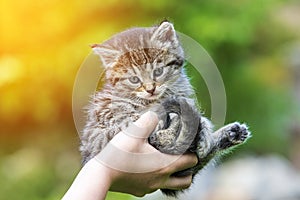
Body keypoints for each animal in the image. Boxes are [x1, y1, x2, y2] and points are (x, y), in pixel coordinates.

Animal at [80, 21, 251, 196]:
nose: (150, 89)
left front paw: (204, 134)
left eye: (158, 71)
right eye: (134, 79)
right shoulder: (110, 118)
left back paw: (231, 134)